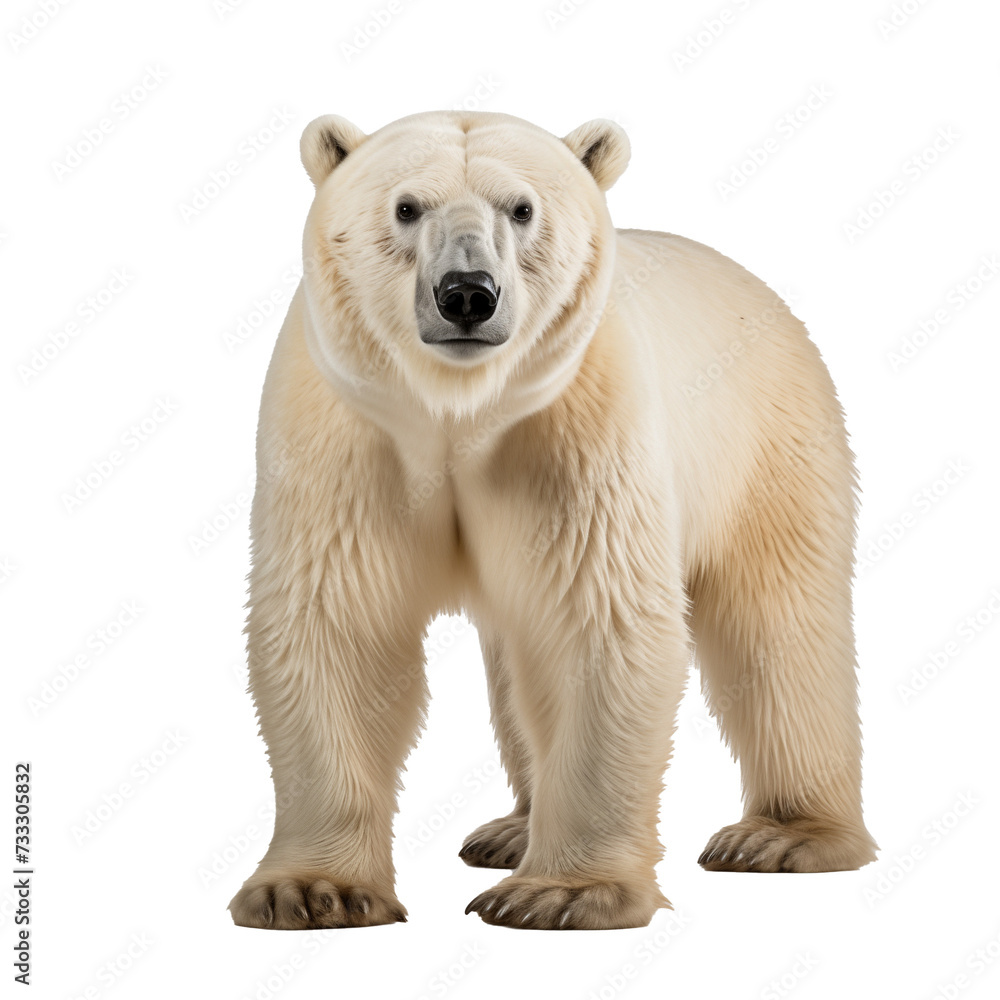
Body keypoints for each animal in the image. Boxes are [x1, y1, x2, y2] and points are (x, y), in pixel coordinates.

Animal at [228, 110, 877, 932]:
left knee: (778, 624)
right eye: (406, 207)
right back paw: (511, 828)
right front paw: (313, 891)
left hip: (768, 440)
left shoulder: (578, 423)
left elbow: (598, 620)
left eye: (521, 208)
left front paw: (561, 892)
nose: (466, 294)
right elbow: (335, 622)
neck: (460, 407)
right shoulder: (344, 425)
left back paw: (783, 835)